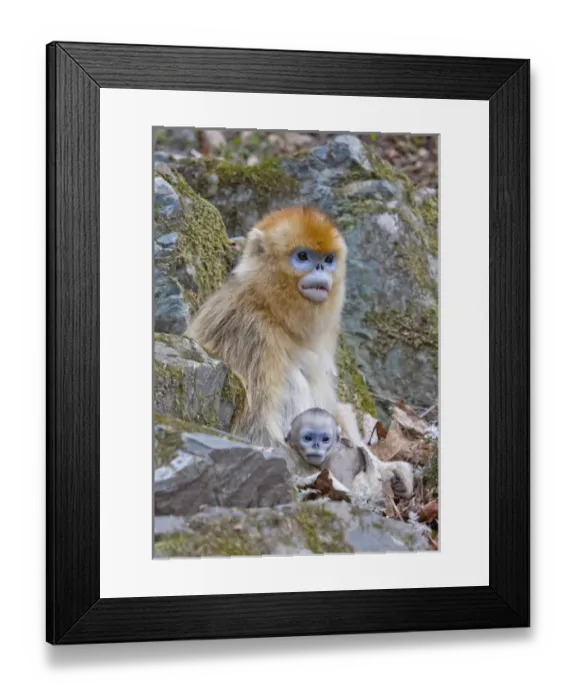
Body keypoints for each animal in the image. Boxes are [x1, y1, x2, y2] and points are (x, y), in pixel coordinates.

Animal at [186, 205, 360, 447]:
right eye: (303, 256)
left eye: (328, 258)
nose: (320, 267)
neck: (269, 308)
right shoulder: (252, 332)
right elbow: (255, 432)